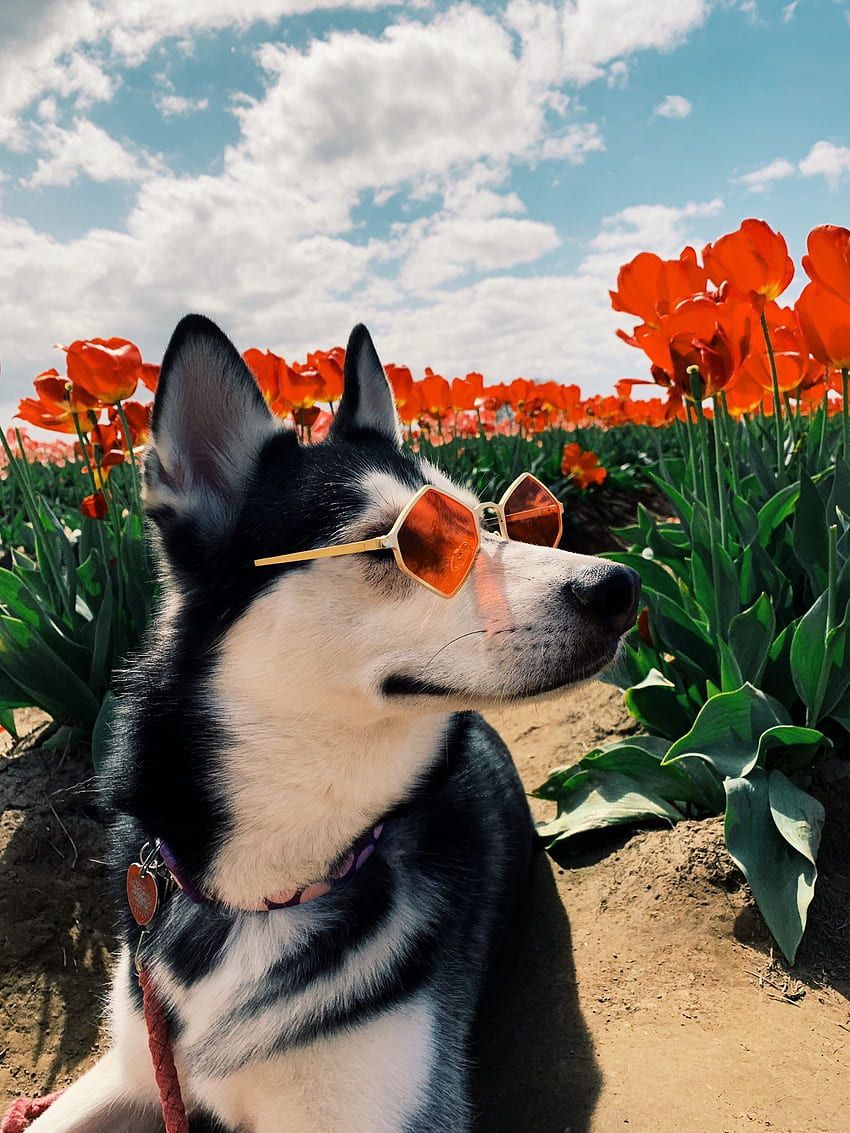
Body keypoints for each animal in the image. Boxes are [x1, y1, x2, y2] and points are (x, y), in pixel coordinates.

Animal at [31, 317, 639, 1133]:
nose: (618, 586)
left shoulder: (374, 1107)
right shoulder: (135, 1064)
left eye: (491, 522)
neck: (268, 891)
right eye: (408, 544)